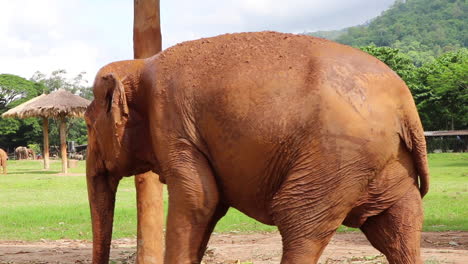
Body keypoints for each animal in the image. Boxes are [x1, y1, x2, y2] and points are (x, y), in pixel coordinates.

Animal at [84, 31, 428, 264]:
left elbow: (199, 200)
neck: (139, 65)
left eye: (86, 123)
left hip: (336, 157)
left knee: (299, 222)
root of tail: (405, 103)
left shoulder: (172, 125)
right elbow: (211, 205)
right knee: (398, 229)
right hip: (385, 161)